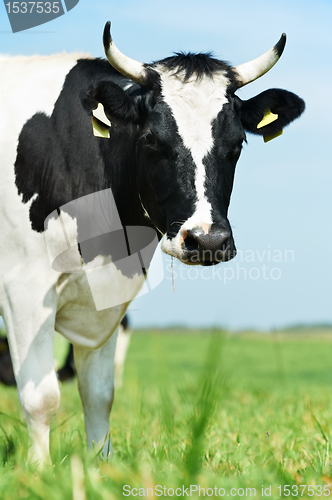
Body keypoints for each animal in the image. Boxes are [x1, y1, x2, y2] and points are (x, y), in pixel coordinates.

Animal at [0, 21, 304, 462]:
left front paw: (100, 466)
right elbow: (41, 398)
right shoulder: (23, 287)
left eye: (237, 145)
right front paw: (38, 470)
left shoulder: (106, 297)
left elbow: (99, 394)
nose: (207, 240)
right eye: (151, 140)